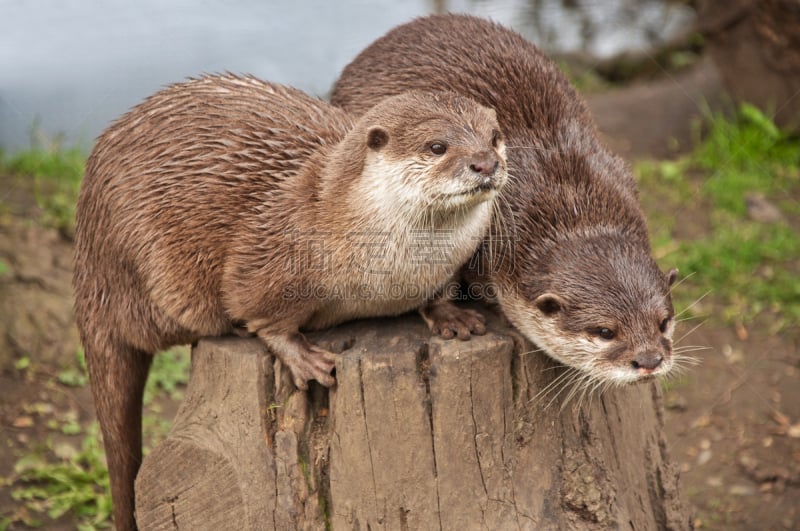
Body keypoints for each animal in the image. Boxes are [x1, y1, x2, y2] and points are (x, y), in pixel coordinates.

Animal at [73, 72, 506, 528]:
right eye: (437, 146)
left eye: (494, 137)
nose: (485, 163)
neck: (394, 271)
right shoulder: (271, 251)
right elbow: (258, 307)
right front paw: (303, 358)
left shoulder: (450, 262)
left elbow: (442, 291)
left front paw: (452, 315)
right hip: (147, 266)